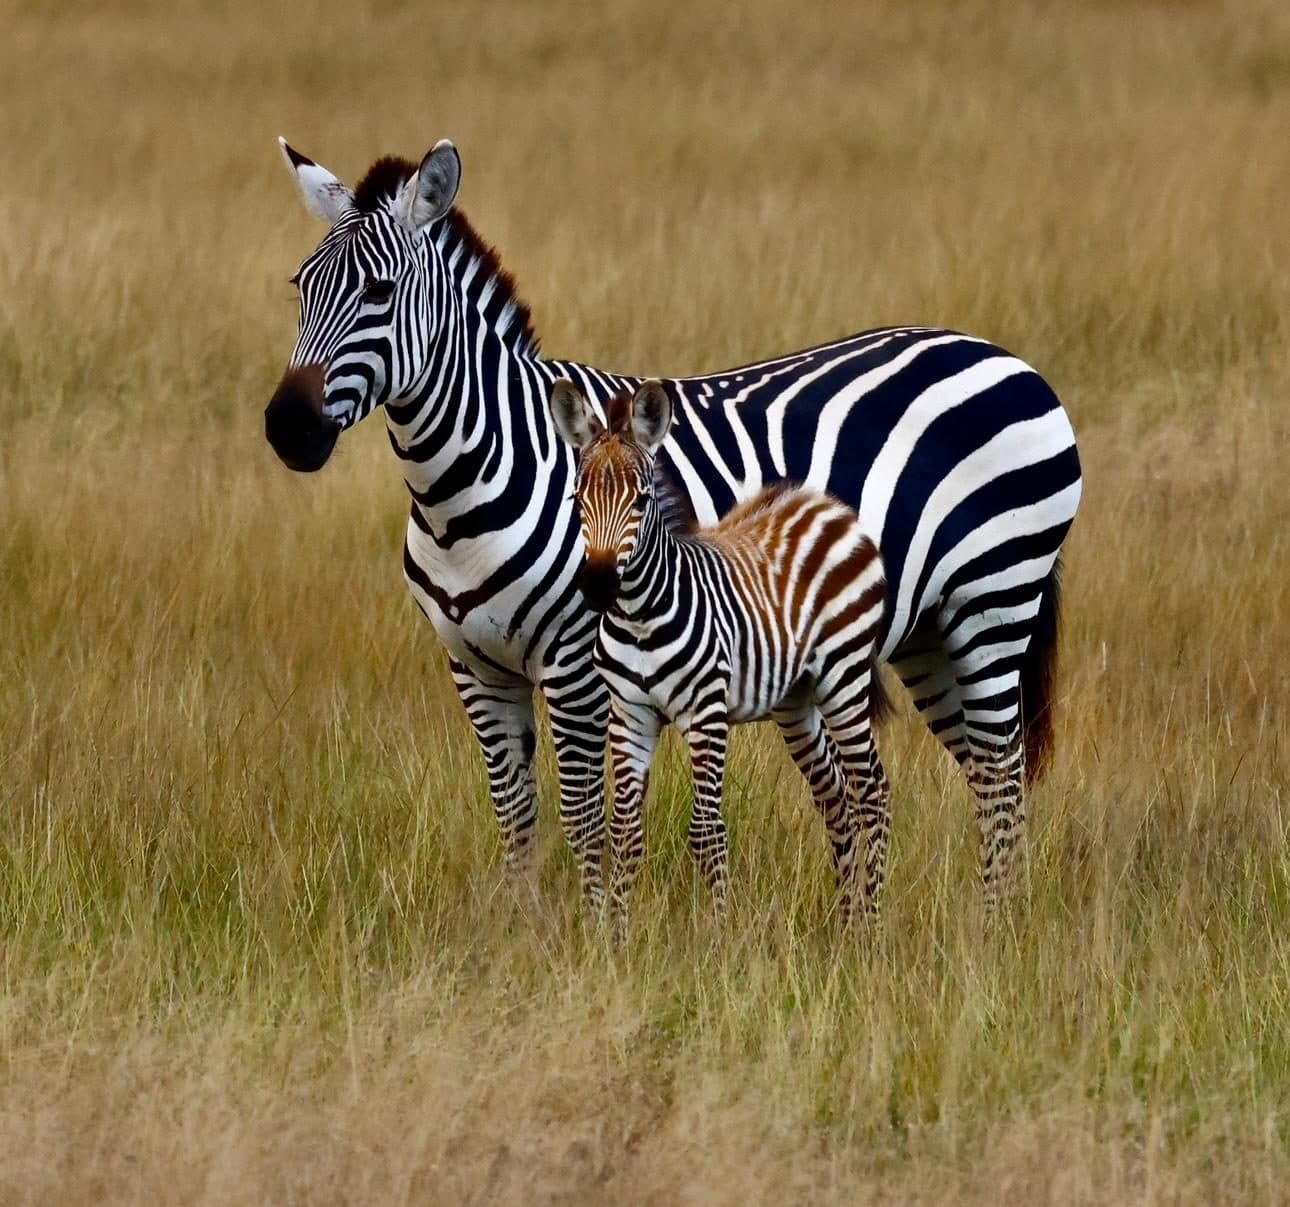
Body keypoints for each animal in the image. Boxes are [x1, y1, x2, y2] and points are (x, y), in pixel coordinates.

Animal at [550, 377, 889, 925]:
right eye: (578, 498)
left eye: (641, 500)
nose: (599, 586)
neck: (639, 616)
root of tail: (826, 504)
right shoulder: (631, 712)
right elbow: (624, 832)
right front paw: (614, 934)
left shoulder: (704, 712)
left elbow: (706, 830)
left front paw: (718, 929)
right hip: (796, 698)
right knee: (836, 795)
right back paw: (844, 918)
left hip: (844, 677)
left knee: (872, 792)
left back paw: (869, 924)